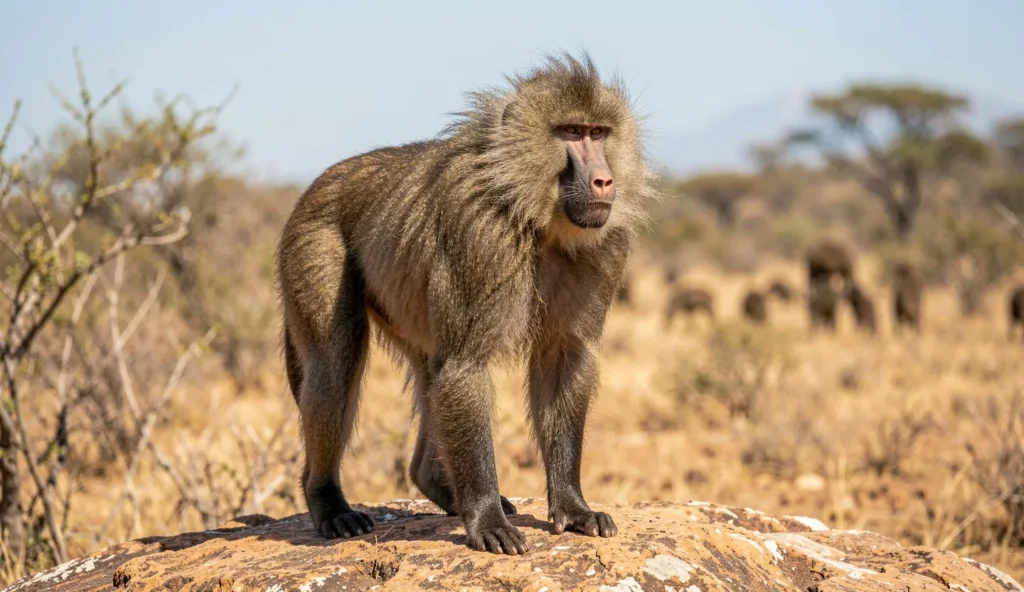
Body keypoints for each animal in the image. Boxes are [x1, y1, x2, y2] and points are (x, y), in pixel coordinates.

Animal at [275, 53, 653, 555]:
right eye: (571, 132)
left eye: (600, 133)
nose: (604, 180)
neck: (530, 212)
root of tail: (317, 185)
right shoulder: (478, 238)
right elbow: (465, 367)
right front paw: (486, 519)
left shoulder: (605, 245)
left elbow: (562, 360)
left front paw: (573, 507)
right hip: (312, 242)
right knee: (335, 365)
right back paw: (328, 502)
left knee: (428, 368)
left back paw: (435, 484)